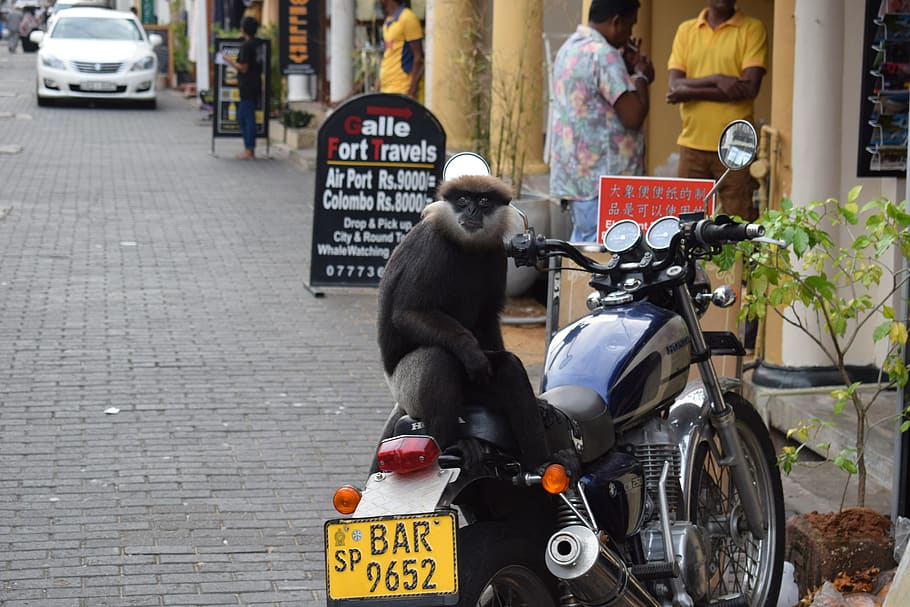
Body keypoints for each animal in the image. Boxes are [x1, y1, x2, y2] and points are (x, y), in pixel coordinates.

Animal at [375, 173, 555, 471]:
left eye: (482, 201)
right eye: (462, 199)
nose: (471, 211)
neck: (466, 245)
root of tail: (400, 403)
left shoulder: (496, 252)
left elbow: (487, 317)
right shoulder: (431, 248)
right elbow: (409, 313)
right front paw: (469, 351)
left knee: (508, 368)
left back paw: (544, 466)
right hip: (407, 390)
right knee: (436, 357)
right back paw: (451, 447)